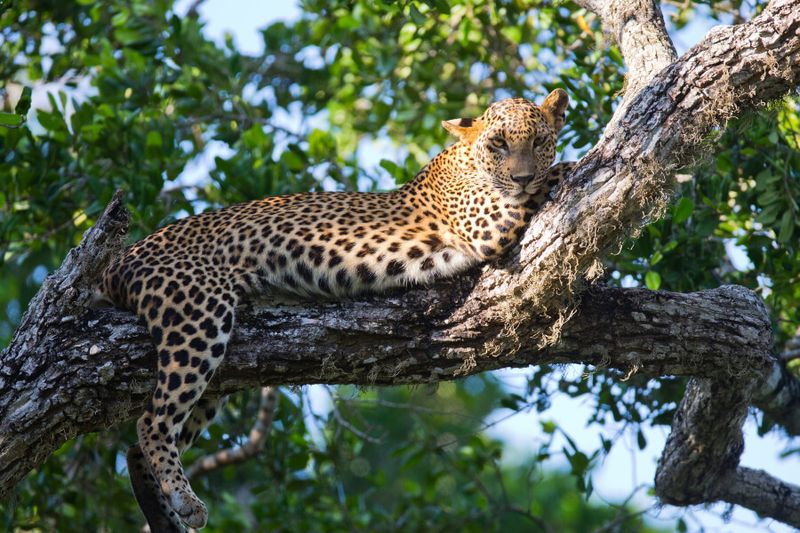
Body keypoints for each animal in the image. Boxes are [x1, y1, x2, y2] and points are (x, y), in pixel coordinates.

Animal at [100, 89, 576, 528]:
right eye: (498, 144)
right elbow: (556, 174)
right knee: (151, 423)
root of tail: (119, 260)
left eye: (538, 140)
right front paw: (568, 167)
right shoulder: (488, 221)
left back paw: (166, 516)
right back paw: (185, 501)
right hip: (197, 318)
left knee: (138, 447)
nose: (521, 177)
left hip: (216, 374)